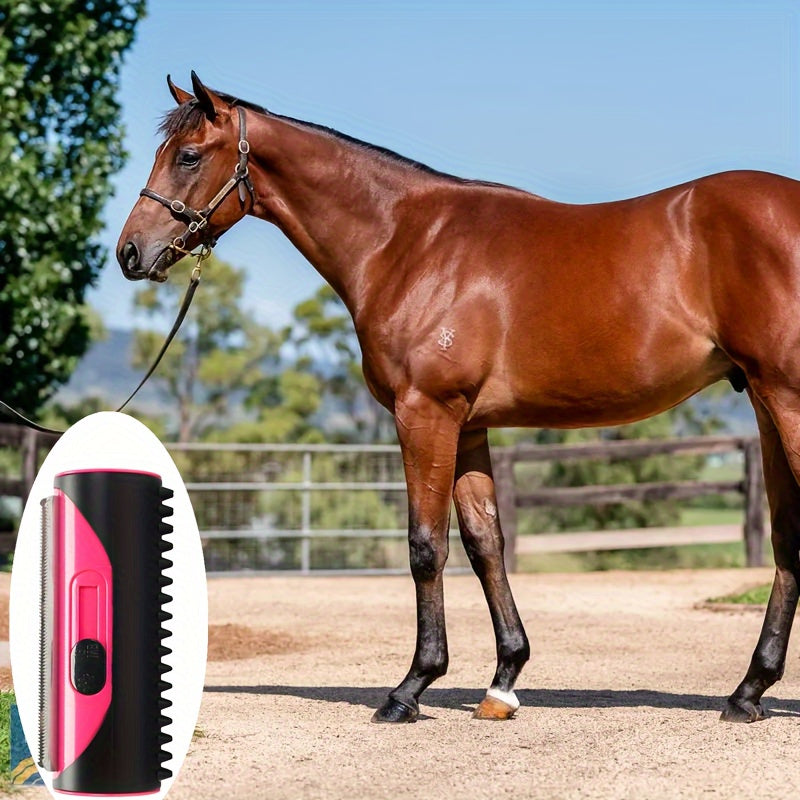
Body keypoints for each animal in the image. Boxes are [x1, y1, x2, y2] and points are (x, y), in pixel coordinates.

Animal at [119, 71, 800, 725]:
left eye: (187, 156)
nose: (130, 252)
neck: (406, 242)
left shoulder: (426, 412)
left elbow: (426, 546)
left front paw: (411, 687)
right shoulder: (468, 425)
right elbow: (483, 542)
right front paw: (503, 683)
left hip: (785, 399)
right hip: (767, 404)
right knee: (786, 539)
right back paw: (747, 692)